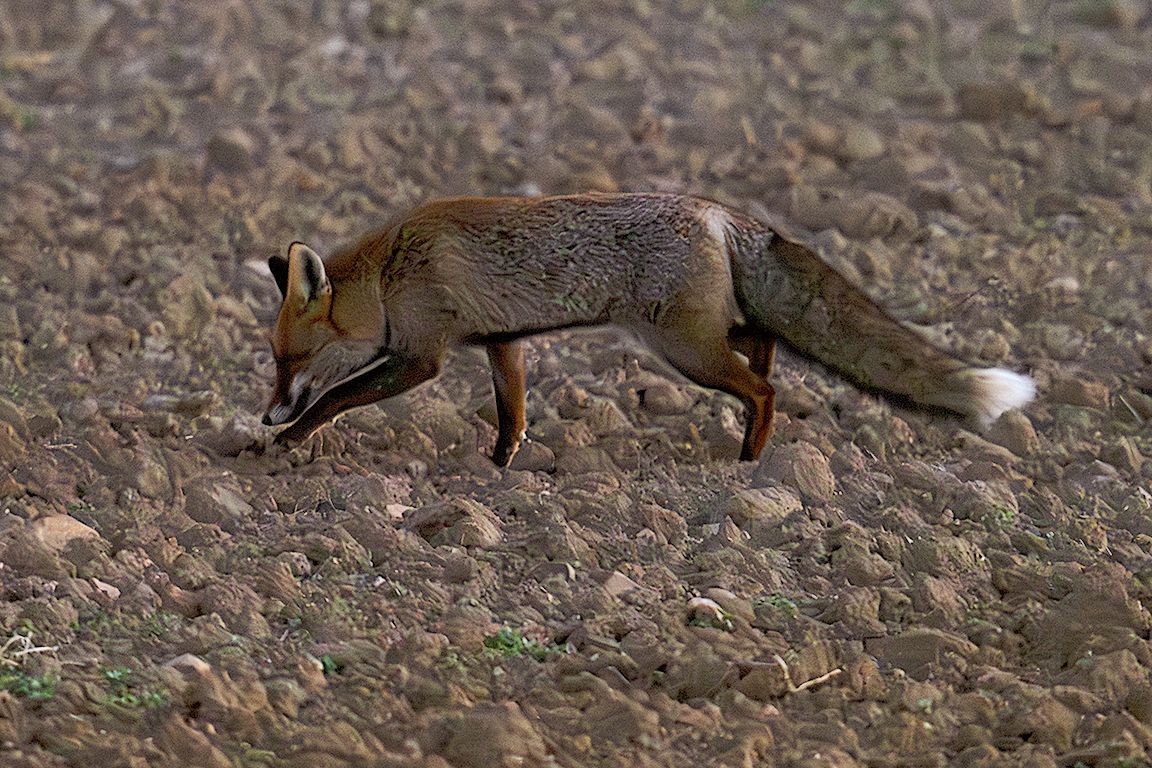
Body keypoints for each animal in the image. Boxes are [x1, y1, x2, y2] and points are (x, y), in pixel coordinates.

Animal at [261, 192, 1035, 466]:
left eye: (288, 359)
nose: (266, 411)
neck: (391, 272)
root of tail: (719, 212)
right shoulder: (502, 342)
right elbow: (513, 412)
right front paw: (500, 467)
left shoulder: (424, 357)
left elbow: (335, 398)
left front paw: (290, 439)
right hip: (699, 337)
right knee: (765, 344)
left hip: (684, 351)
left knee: (763, 389)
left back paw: (752, 459)